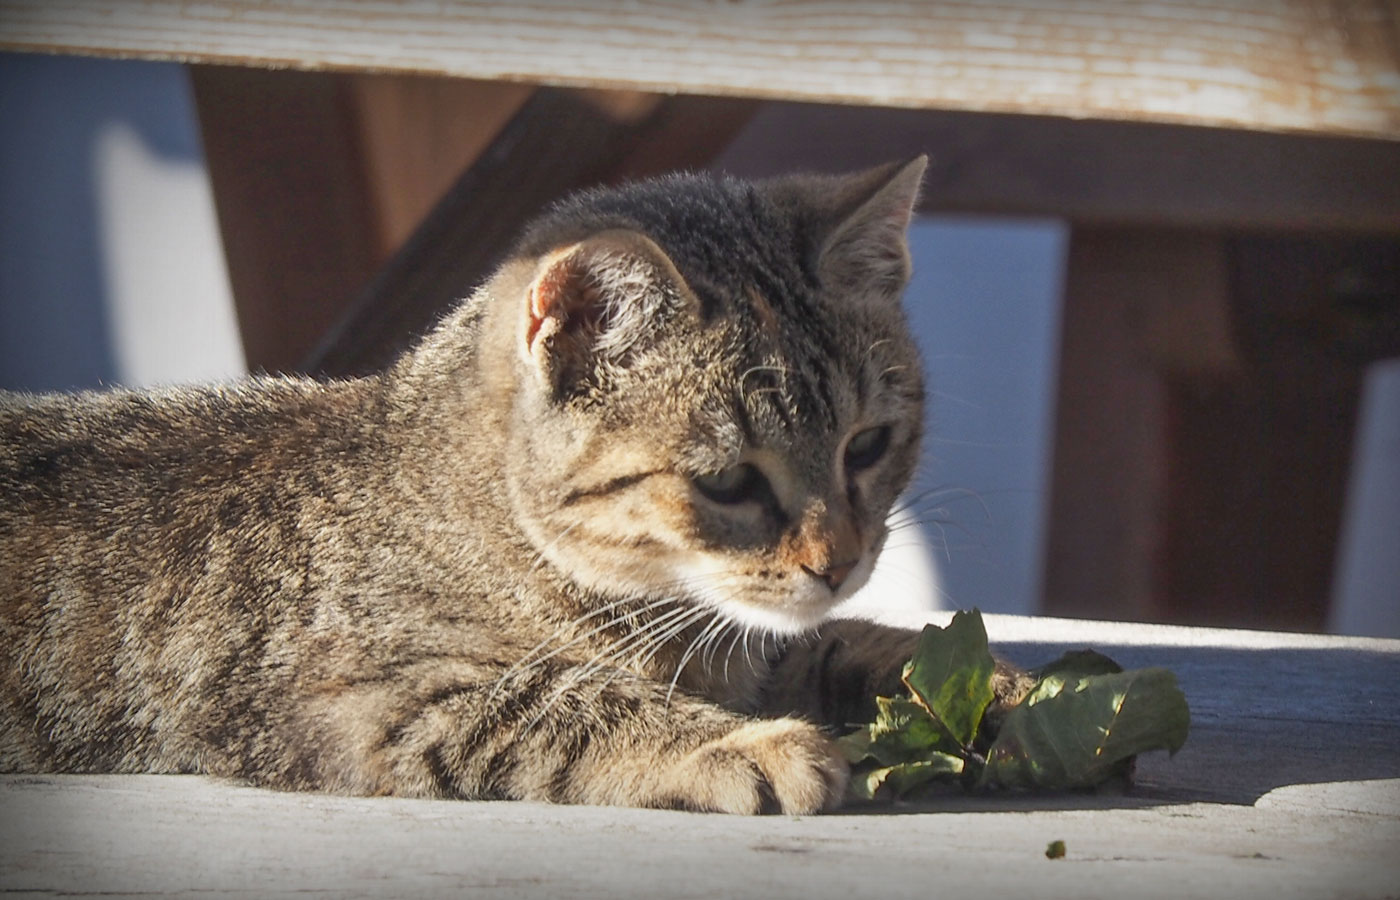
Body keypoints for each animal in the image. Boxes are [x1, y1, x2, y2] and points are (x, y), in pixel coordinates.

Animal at [0, 156, 1030, 817]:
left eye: (869, 445)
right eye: (731, 479)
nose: (839, 561)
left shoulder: (766, 644)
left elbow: (853, 644)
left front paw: (997, 685)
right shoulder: (366, 697)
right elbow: (564, 700)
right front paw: (740, 743)